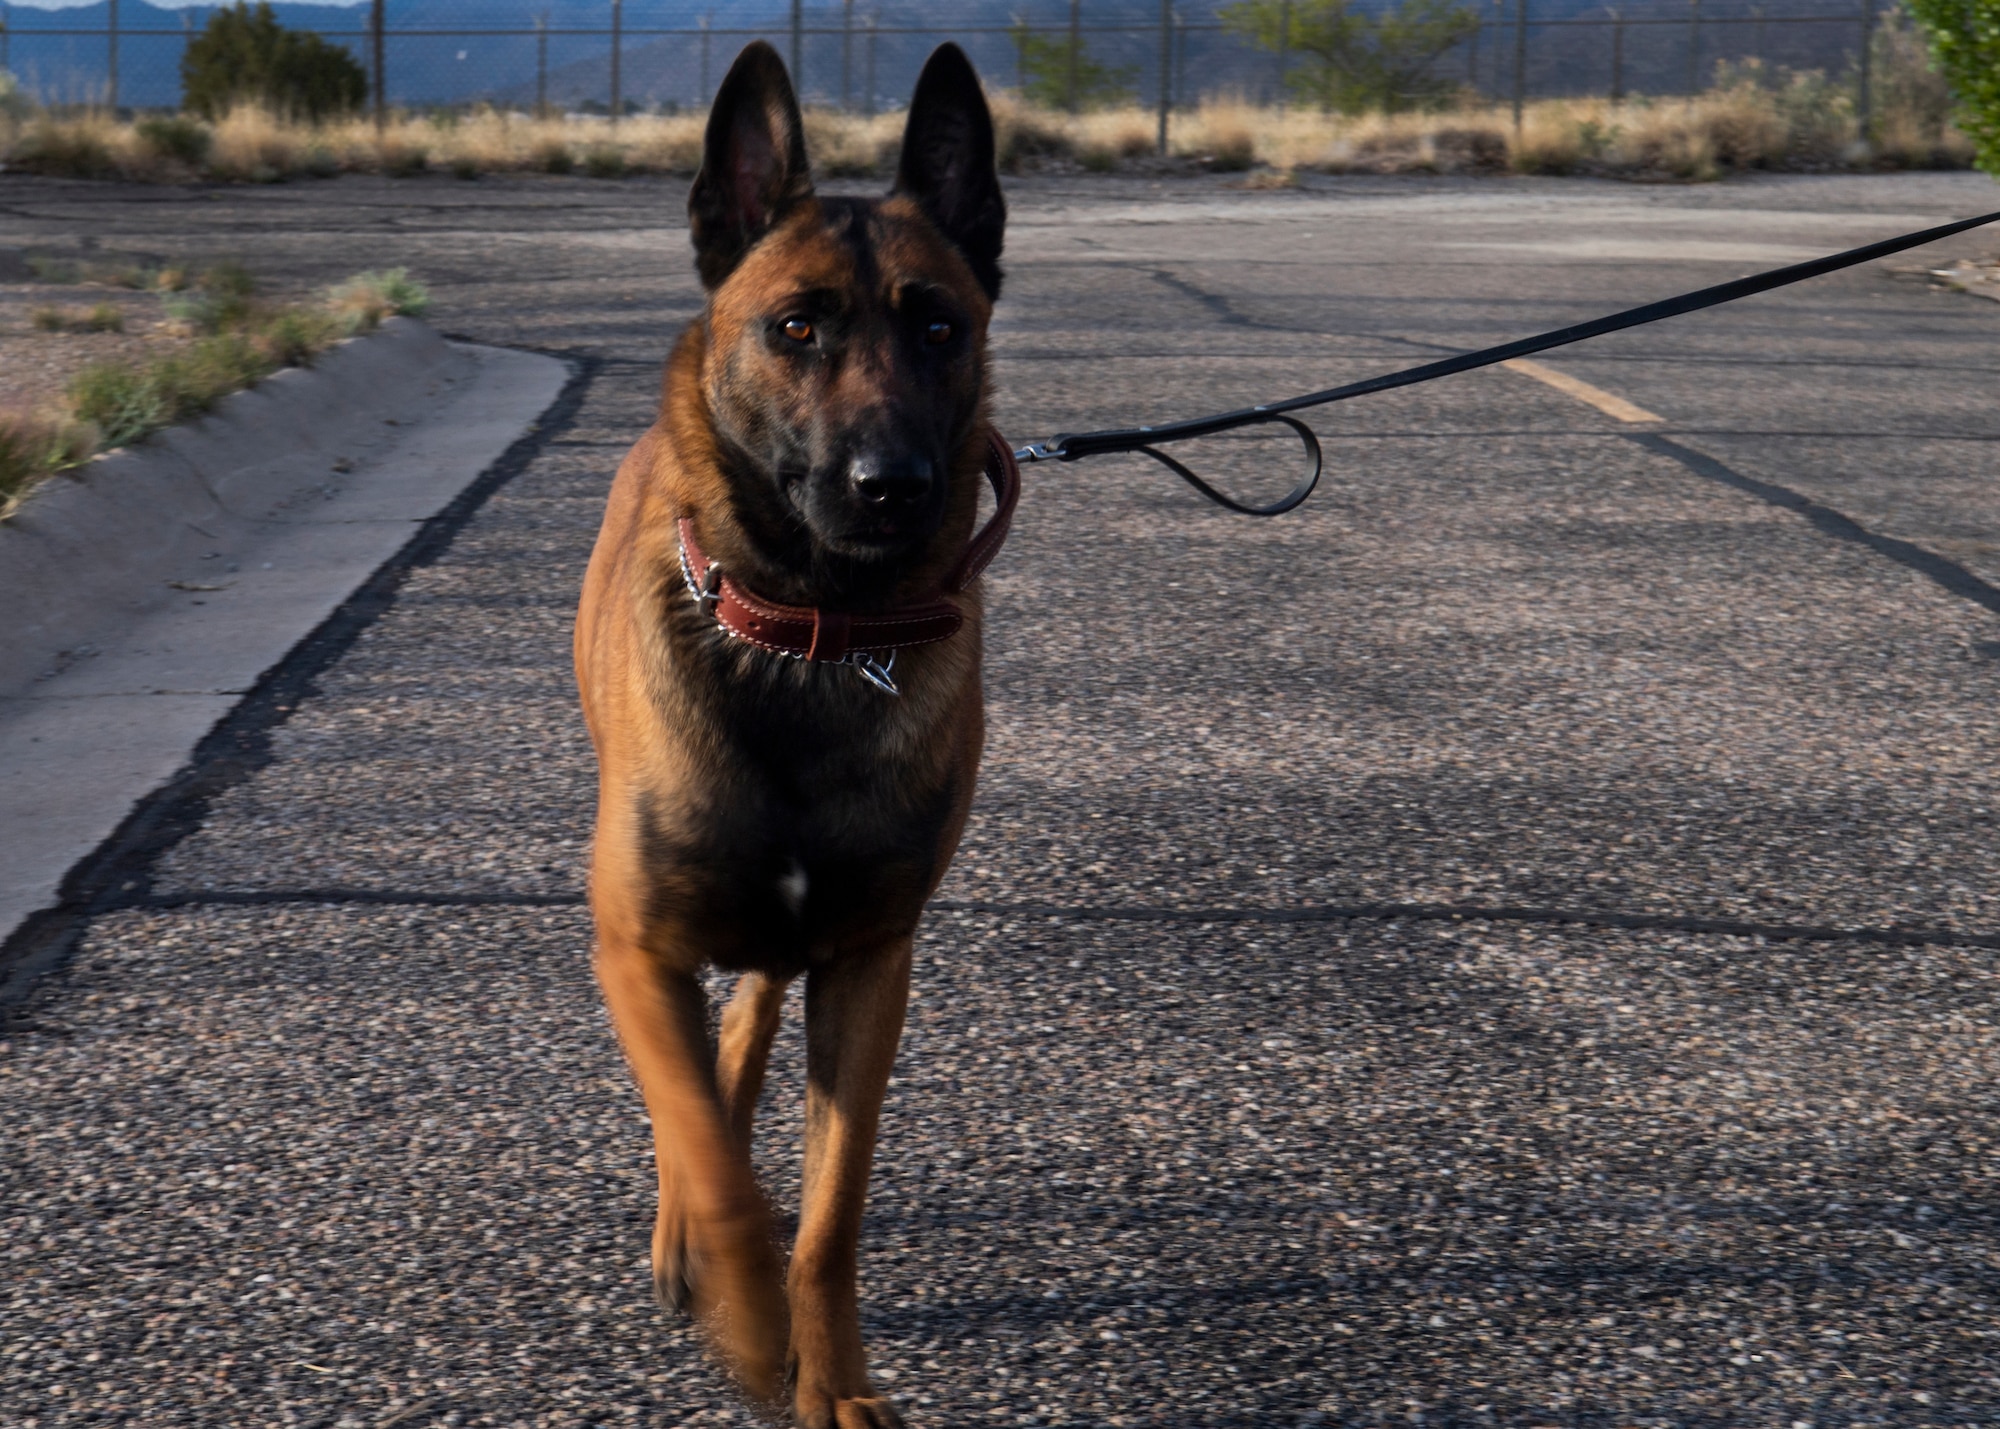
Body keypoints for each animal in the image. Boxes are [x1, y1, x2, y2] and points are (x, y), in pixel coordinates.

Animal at [576, 39, 1016, 1416]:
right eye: (795, 327)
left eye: (938, 325)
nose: (892, 487)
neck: (808, 635)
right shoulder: (633, 946)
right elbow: (715, 1167)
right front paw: (743, 1305)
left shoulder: (870, 963)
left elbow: (826, 1211)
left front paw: (828, 1372)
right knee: (703, 1099)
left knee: (748, 1019)